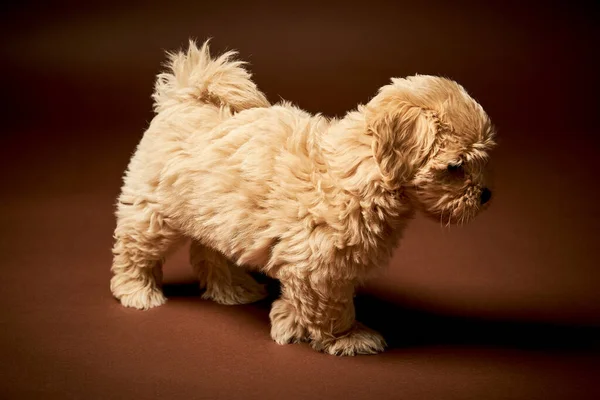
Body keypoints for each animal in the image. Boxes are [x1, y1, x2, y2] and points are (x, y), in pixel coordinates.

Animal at [110, 39, 494, 354]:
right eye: (455, 167)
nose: (486, 195)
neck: (360, 171)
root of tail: (185, 98)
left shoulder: (313, 264)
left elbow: (305, 300)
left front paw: (288, 323)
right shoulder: (321, 266)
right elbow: (331, 306)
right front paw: (346, 337)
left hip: (212, 213)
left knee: (208, 251)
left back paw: (233, 289)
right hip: (153, 211)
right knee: (135, 250)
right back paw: (137, 291)